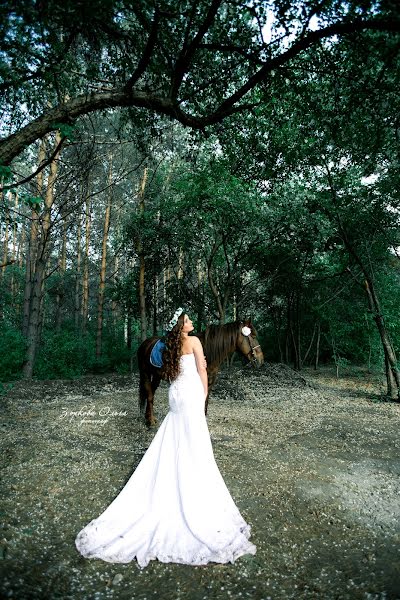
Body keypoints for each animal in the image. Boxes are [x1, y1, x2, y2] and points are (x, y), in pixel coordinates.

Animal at [138, 318, 266, 426]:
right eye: (253, 336)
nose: (261, 360)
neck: (207, 352)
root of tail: (145, 343)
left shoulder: (209, 382)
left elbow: (205, 401)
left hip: (156, 376)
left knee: (151, 393)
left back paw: (148, 417)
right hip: (145, 374)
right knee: (149, 394)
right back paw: (151, 421)